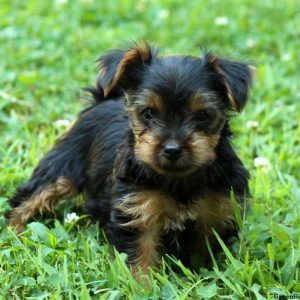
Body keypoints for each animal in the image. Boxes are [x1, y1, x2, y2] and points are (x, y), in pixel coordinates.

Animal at [8, 41, 253, 274]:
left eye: (202, 115)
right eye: (148, 113)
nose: (172, 149)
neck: (180, 180)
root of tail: (102, 101)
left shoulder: (217, 211)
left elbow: (203, 249)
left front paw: (200, 271)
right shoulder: (137, 212)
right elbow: (139, 257)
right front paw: (141, 284)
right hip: (65, 165)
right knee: (32, 194)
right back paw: (14, 231)